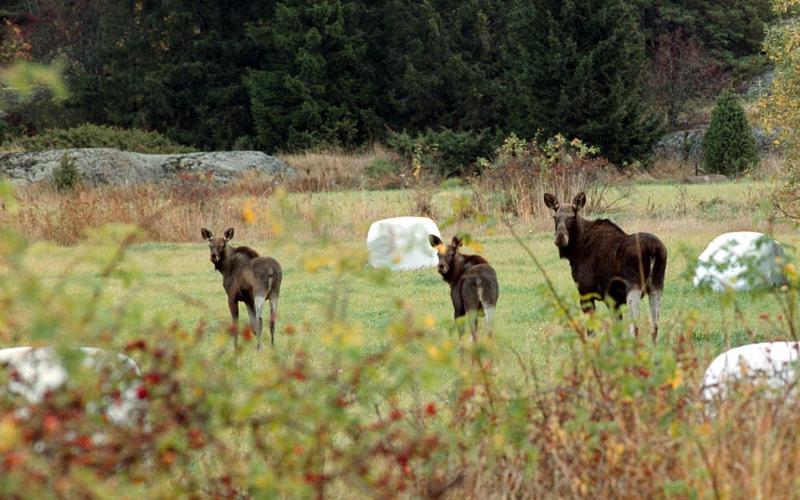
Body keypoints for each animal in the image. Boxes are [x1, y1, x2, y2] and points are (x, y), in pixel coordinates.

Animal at [544, 191, 668, 340]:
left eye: (572, 217)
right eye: (554, 217)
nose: (560, 238)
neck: (574, 251)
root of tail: (653, 250)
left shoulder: (586, 293)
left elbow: (592, 332)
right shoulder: (612, 301)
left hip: (634, 288)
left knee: (635, 328)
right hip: (657, 286)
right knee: (654, 326)